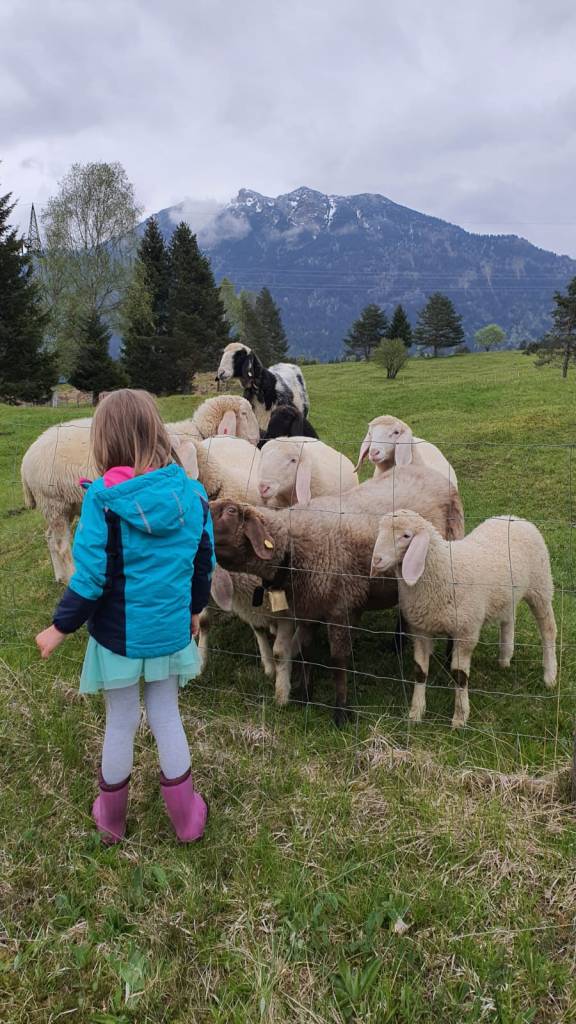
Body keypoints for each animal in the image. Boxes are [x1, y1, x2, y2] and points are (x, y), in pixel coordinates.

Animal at [210, 464, 464, 724]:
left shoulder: (342, 608)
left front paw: (341, 711)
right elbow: (306, 651)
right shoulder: (307, 608)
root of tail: (433, 473)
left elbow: (338, 660)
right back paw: (396, 643)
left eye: (230, 511)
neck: (294, 546)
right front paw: (305, 695)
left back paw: (447, 655)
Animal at [370, 510, 557, 729]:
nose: (377, 559)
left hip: (541, 587)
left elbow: (459, 675)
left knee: (548, 630)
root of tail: (515, 517)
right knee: (508, 618)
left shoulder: (466, 632)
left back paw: (550, 676)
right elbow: (420, 671)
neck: (442, 570)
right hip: (507, 594)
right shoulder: (420, 630)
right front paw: (416, 713)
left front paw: (459, 719)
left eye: (406, 536)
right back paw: (505, 658)